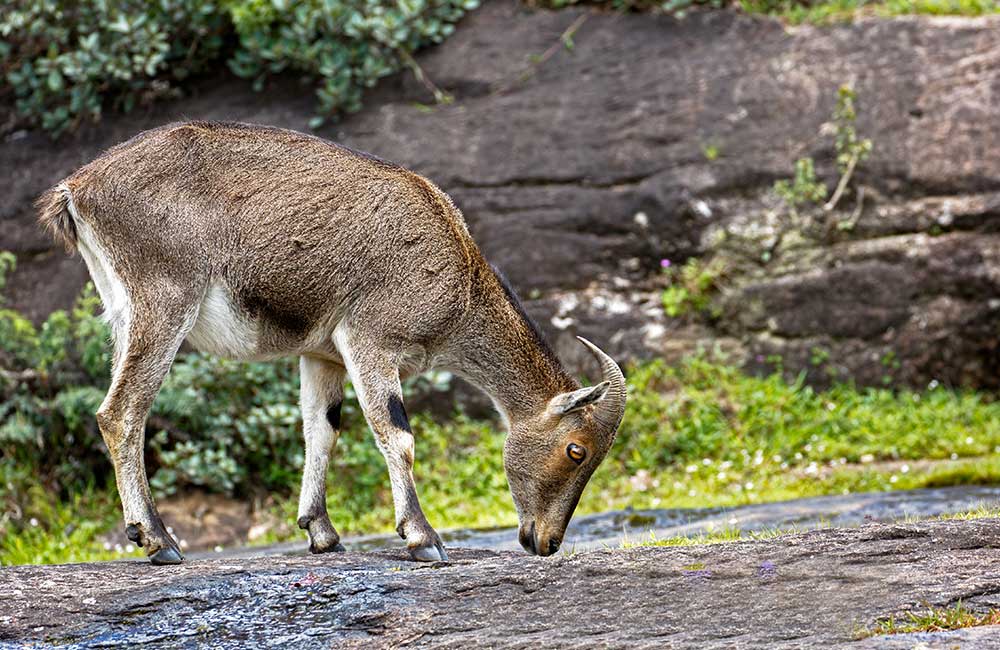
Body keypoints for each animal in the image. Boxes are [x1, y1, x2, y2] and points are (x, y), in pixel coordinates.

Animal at [37, 121, 624, 560]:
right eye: (576, 449)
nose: (546, 542)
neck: (458, 280)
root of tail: (76, 190)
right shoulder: (370, 338)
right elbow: (398, 435)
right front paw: (423, 539)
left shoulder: (322, 356)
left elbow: (321, 432)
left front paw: (322, 532)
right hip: (164, 297)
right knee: (121, 413)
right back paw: (158, 541)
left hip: (120, 308)